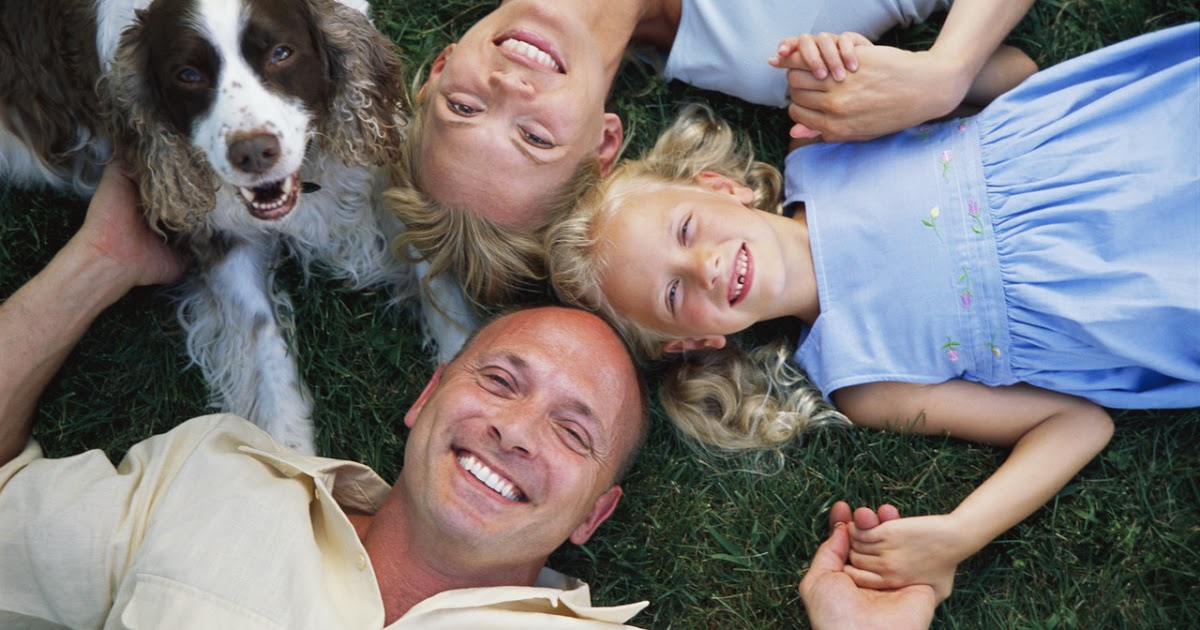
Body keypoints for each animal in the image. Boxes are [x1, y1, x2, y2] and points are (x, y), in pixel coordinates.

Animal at [0, 0, 474, 454]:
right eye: (188, 75)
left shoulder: (378, 169)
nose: (253, 153)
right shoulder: (223, 242)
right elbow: (265, 345)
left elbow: (438, 280)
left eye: (281, 53)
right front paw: (291, 459)